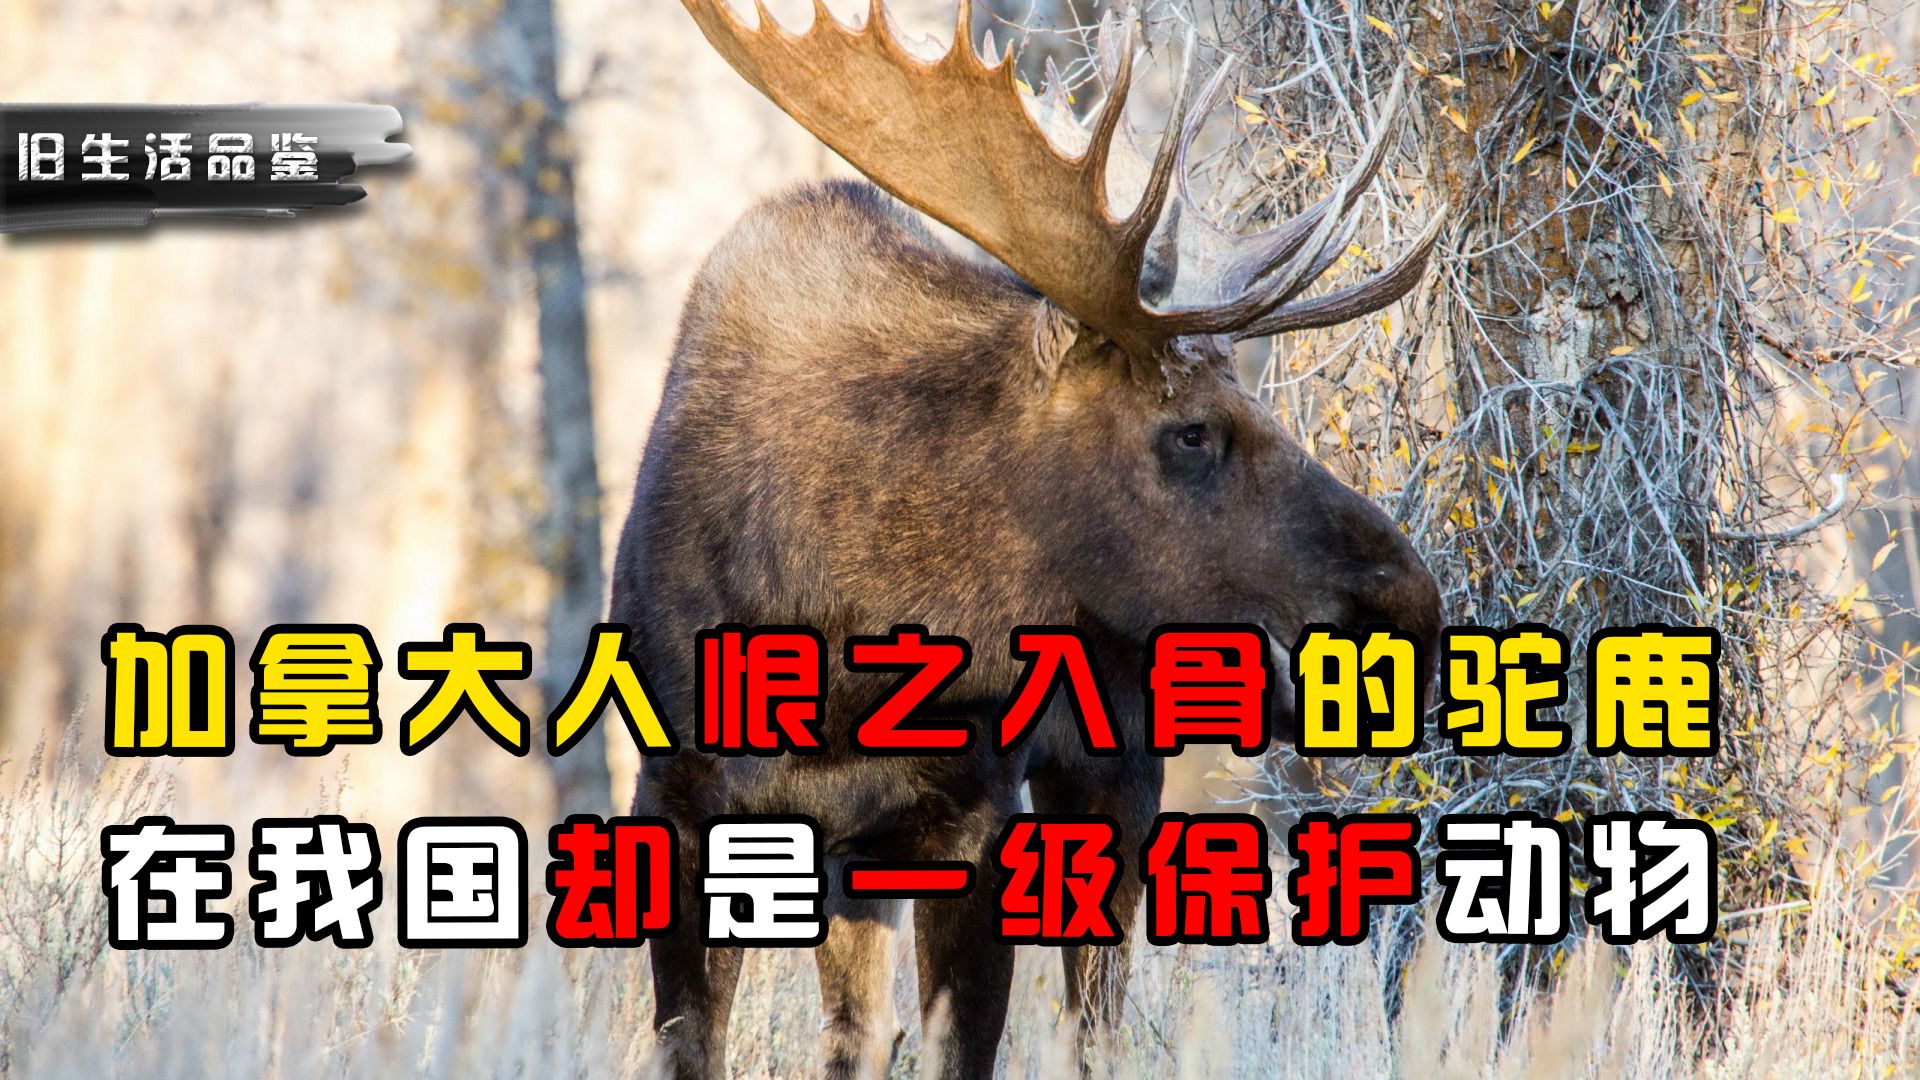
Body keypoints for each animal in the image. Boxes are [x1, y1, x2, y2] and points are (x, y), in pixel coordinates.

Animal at [614, 1, 1446, 1076]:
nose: (1406, 603)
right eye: (1192, 431)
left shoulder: (970, 812)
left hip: (1116, 767)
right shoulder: (678, 795)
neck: (841, 653)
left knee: (1095, 1016)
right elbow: (714, 1042)